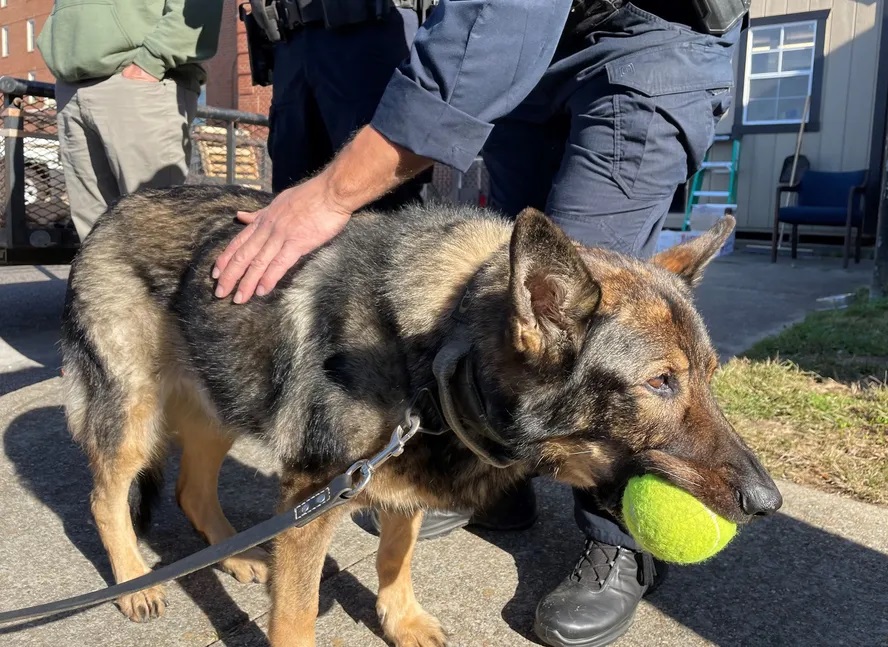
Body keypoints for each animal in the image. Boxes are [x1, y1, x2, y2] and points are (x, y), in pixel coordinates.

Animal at [60, 184, 784, 647]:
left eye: (709, 377)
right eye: (660, 382)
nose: (768, 503)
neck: (444, 344)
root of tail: (116, 208)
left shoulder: (401, 483)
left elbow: (395, 556)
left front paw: (399, 620)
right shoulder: (314, 499)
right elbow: (296, 618)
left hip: (224, 398)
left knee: (190, 486)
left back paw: (234, 555)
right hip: (135, 412)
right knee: (104, 493)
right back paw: (133, 580)